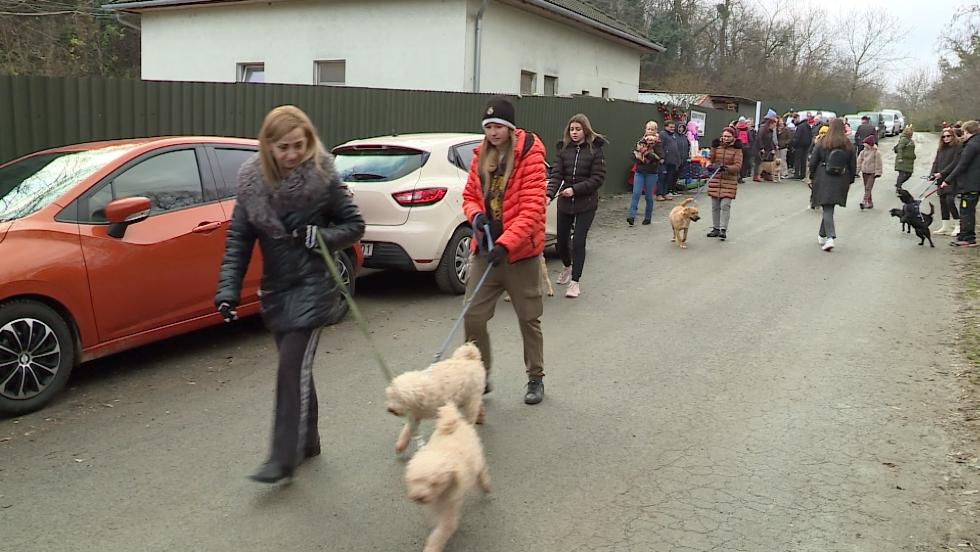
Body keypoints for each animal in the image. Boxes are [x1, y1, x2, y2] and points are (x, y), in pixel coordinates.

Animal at [402, 402, 490, 552]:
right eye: (416, 480)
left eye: (434, 483)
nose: (419, 497)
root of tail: (454, 423)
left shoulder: (449, 506)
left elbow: (442, 530)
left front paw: (432, 547)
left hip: (477, 460)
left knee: (481, 472)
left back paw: (485, 485)